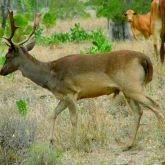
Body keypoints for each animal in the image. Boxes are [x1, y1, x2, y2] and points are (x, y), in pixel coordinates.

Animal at [0, 9, 165, 150]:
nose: (1, 71)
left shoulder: (70, 93)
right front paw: (50, 141)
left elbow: (74, 119)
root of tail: (144, 59)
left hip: (133, 87)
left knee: (155, 105)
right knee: (139, 112)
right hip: (128, 91)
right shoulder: (63, 97)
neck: (49, 76)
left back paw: (159, 135)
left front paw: (74, 144)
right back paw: (128, 144)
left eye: (7, 56)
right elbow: (53, 114)